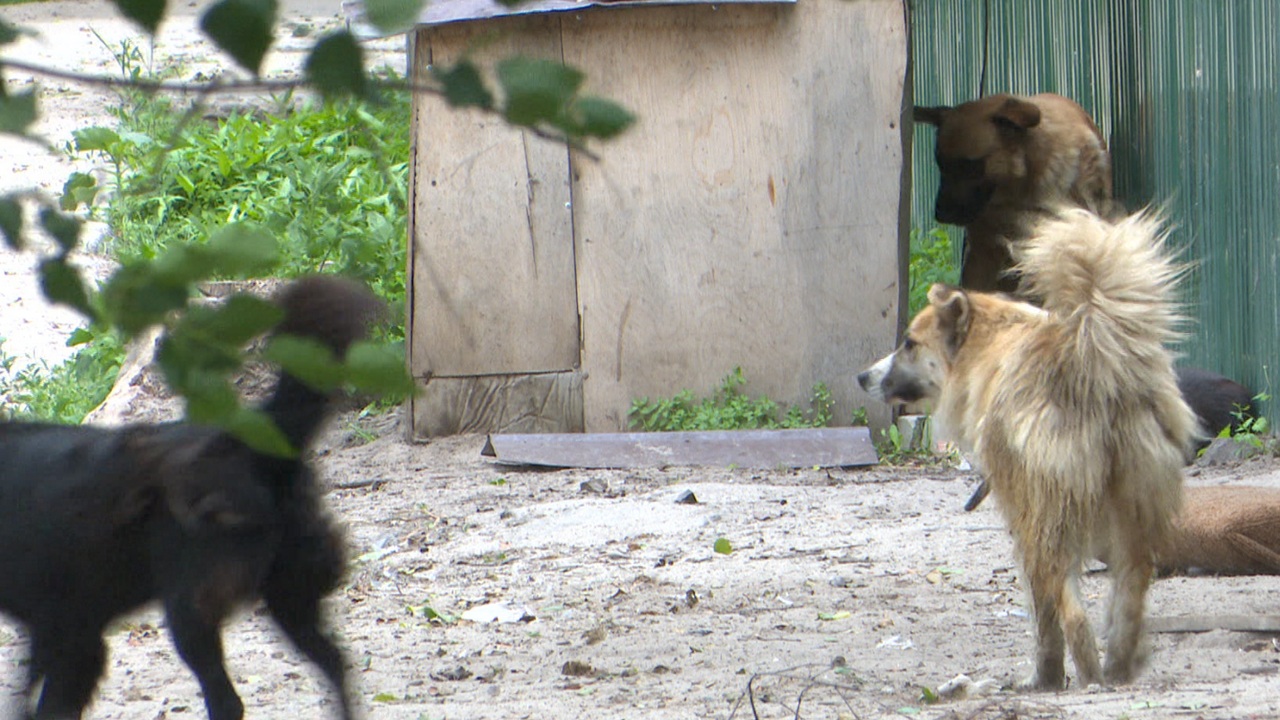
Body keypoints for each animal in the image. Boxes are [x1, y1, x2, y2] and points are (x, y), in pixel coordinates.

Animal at [0, 275, 378, 717]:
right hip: (290, 594)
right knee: (336, 664)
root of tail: (252, 444)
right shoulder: (64, 632)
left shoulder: (69, 633)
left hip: (191, 609)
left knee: (227, 700)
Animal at [855, 208, 1192, 691]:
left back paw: (1087, 676)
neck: (987, 347)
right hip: (1135, 505)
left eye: (909, 344)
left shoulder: (1020, 512)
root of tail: (1088, 359)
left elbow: (1044, 616)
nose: (862, 376)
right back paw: (1118, 670)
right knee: (1129, 597)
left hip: (1046, 520)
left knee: (1072, 612)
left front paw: (1046, 675)